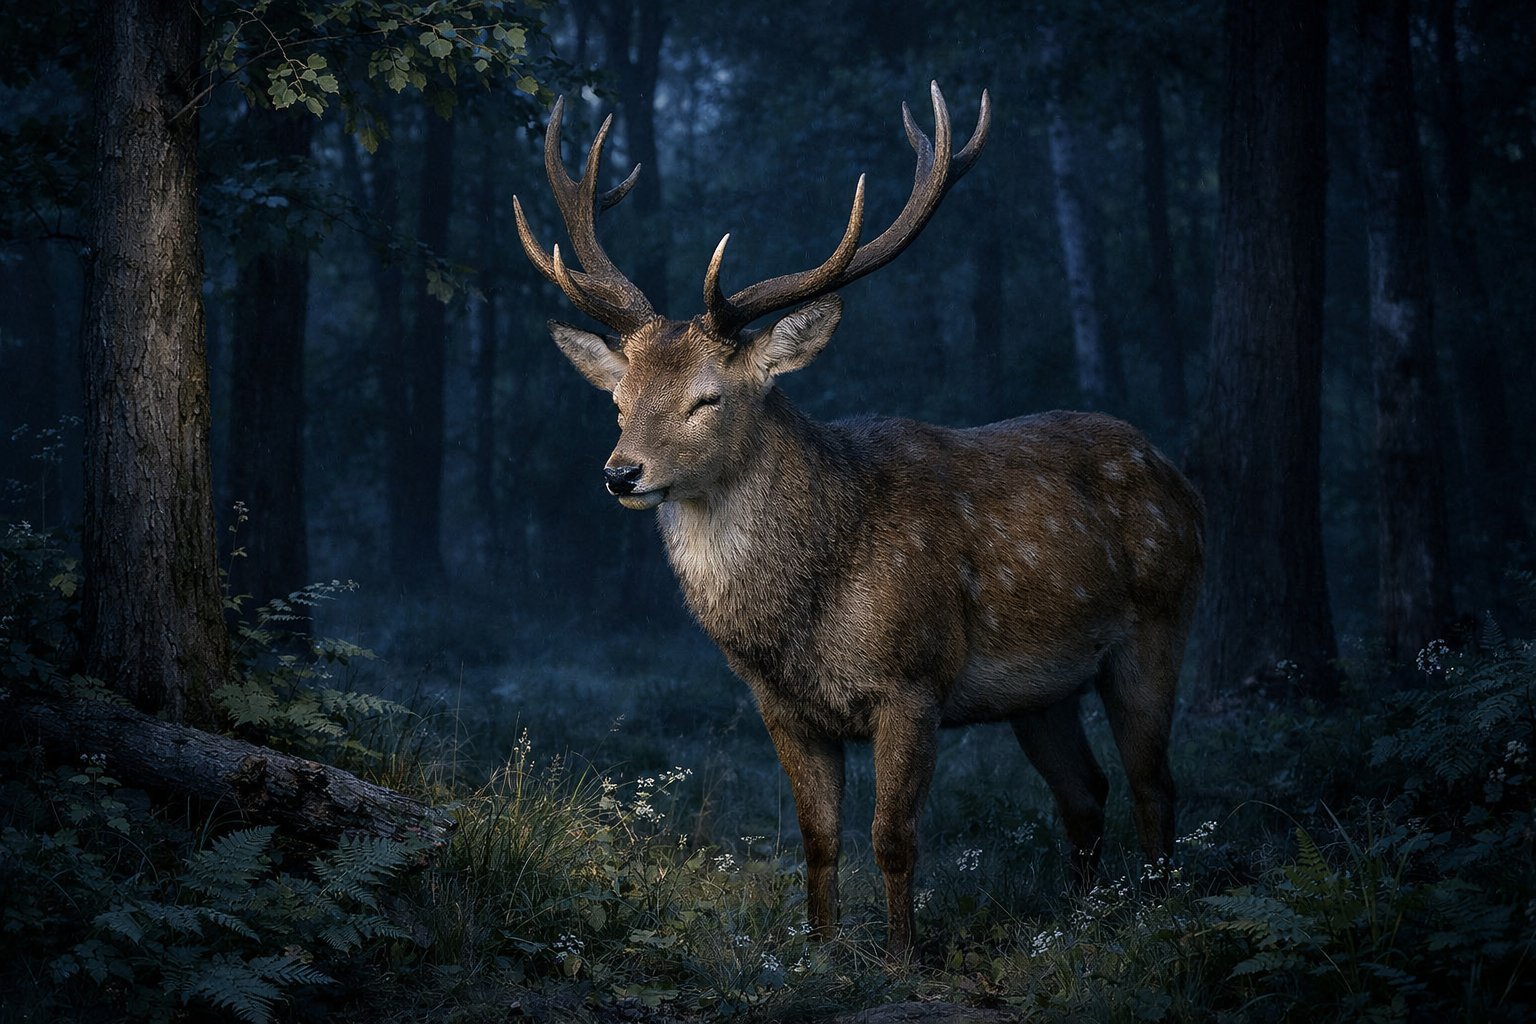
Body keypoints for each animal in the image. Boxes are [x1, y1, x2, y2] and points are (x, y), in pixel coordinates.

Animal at [513, 84, 1205, 955]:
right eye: (618, 399)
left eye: (708, 397)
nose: (620, 473)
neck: (802, 618)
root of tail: (1179, 477)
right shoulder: (782, 706)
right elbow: (817, 839)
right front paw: (819, 949)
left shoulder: (915, 678)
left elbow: (893, 837)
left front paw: (902, 955)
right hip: (1041, 691)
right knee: (1085, 791)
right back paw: (1081, 922)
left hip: (1158, 623)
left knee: (1154, 782)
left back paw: (1158, 914)